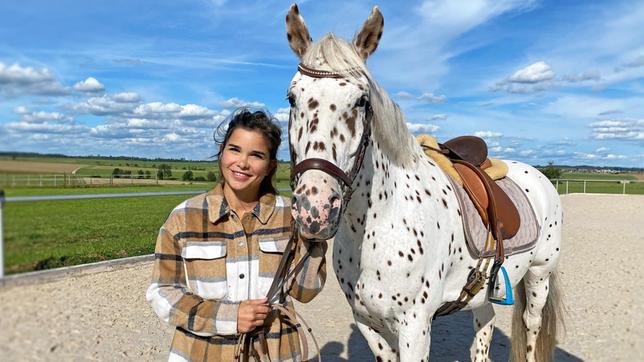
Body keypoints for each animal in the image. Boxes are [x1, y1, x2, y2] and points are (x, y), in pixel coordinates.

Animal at [286, 3, 564, 362]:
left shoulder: (415, 325)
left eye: (362, 101)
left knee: (531, 326)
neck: (381, 223)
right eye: (292, 98)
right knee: (484, 329)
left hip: (539, 275)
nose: (315, 208)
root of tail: (541, 178)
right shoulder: (368, 323)